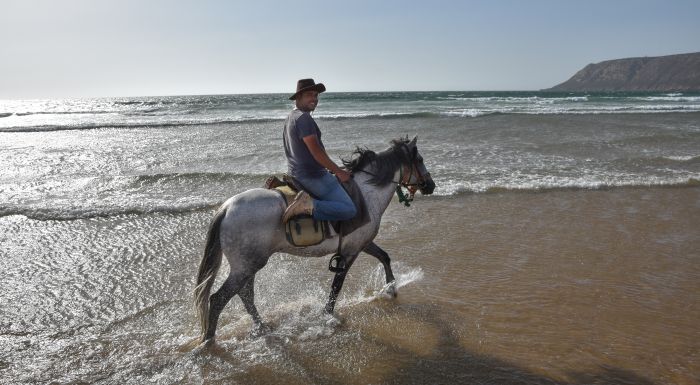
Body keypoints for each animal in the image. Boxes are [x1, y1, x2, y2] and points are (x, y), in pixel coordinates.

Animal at [194, 136, 434, 340]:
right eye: (420, 160)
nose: (430, 185)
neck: (366, 195)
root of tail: (226, 208)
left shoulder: (361, 243)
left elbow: (384, 257)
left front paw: (391, 288)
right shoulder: (351, 250)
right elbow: (337, 286)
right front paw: (327, 315)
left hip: (248, 264)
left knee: (245, 295)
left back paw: (261, 326)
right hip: (247, 265)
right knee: (219, 298)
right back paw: (209, 339)